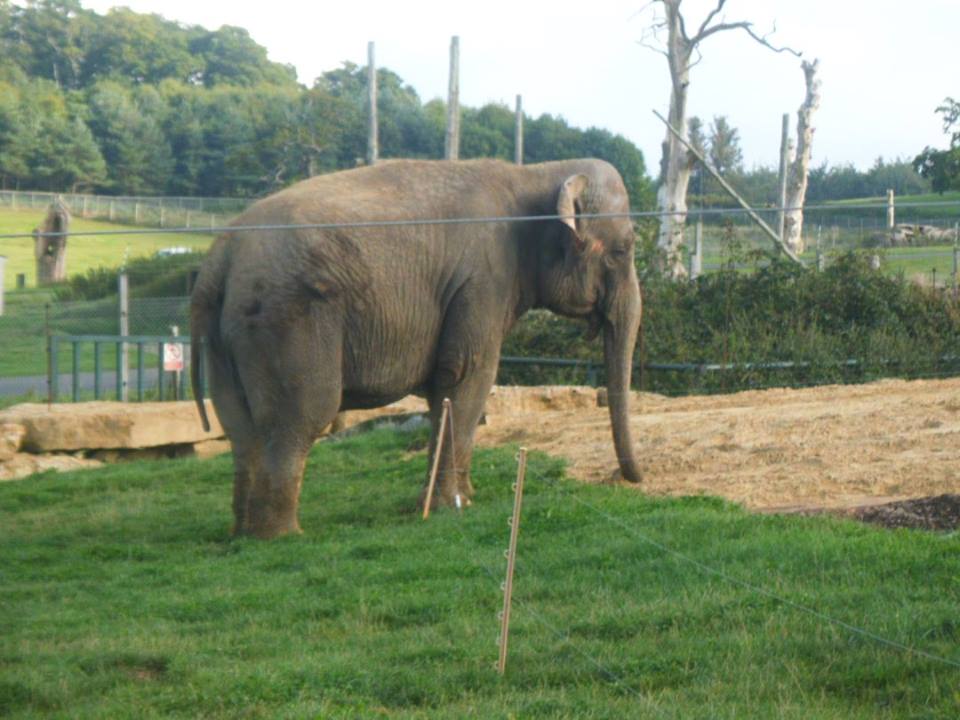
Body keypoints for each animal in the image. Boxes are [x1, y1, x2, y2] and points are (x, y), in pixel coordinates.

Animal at [190, 158, 642, 539]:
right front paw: (454, 507)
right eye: (625, 249)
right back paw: (283, 537)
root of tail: (218, 258)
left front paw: (458, 498)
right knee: (301, 416)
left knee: (239, 426)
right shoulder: (481, 282)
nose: (630, 479)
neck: (535, 172)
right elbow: (467, 375)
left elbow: (442, 390)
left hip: (225, 334)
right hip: (285, 320)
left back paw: (243, 533)